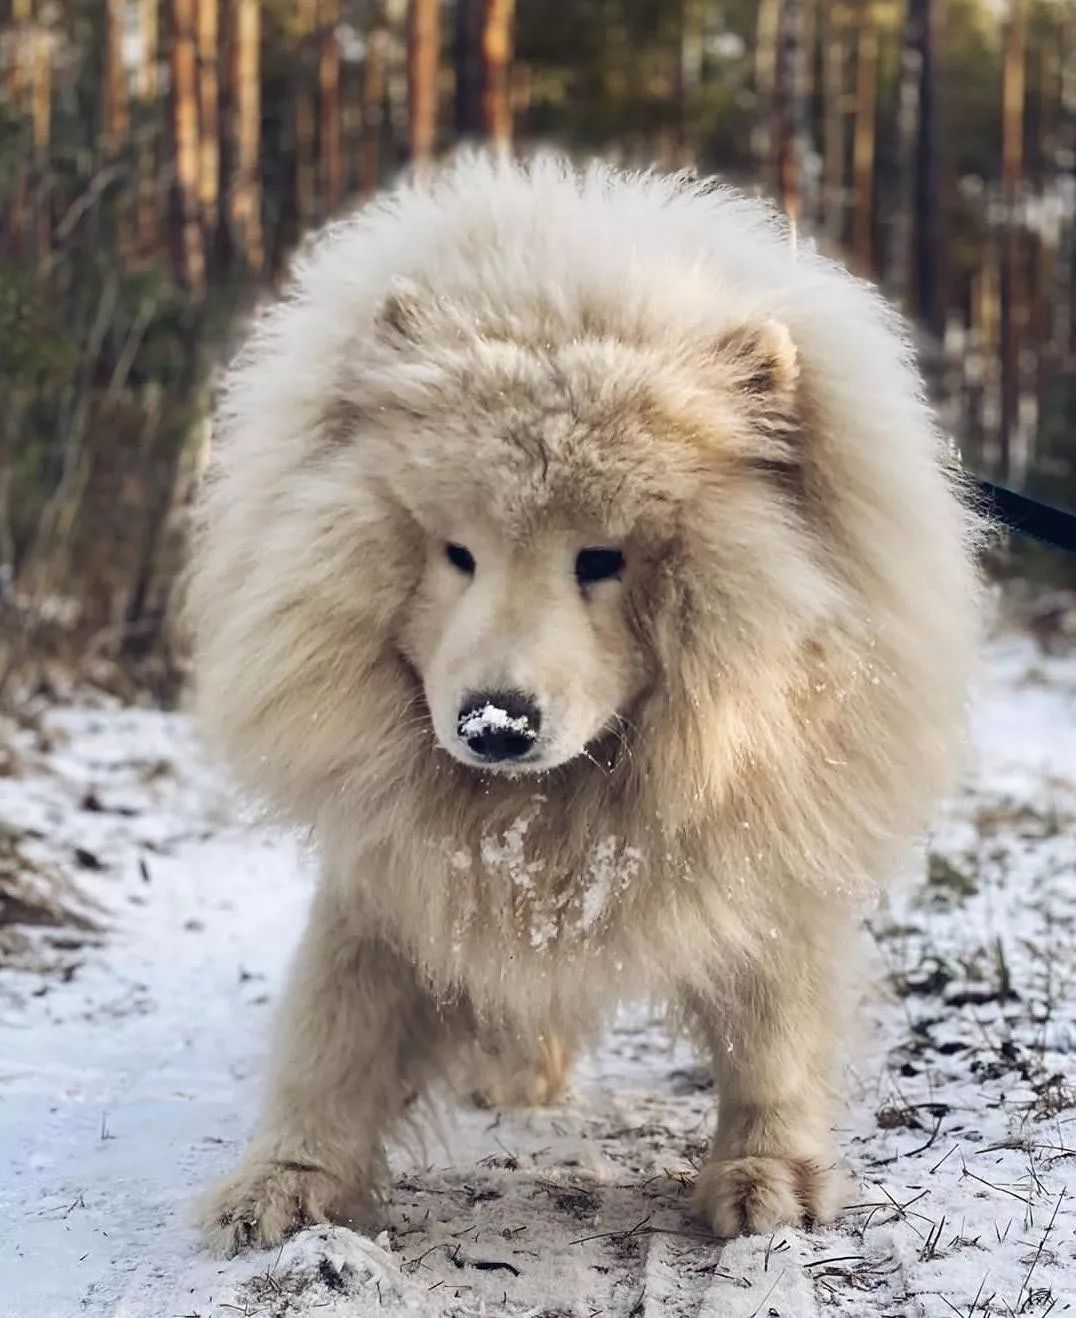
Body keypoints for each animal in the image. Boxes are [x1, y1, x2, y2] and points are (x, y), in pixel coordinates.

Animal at [187, 149, 981, 1249]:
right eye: (457, 552)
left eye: (601, 559)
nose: (496, 723)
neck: (561, 811)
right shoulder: (387, 870)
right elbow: (333, 1027)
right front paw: (288, 1181)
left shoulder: (768, 850)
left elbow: (771, 1030)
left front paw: (764, 1174)